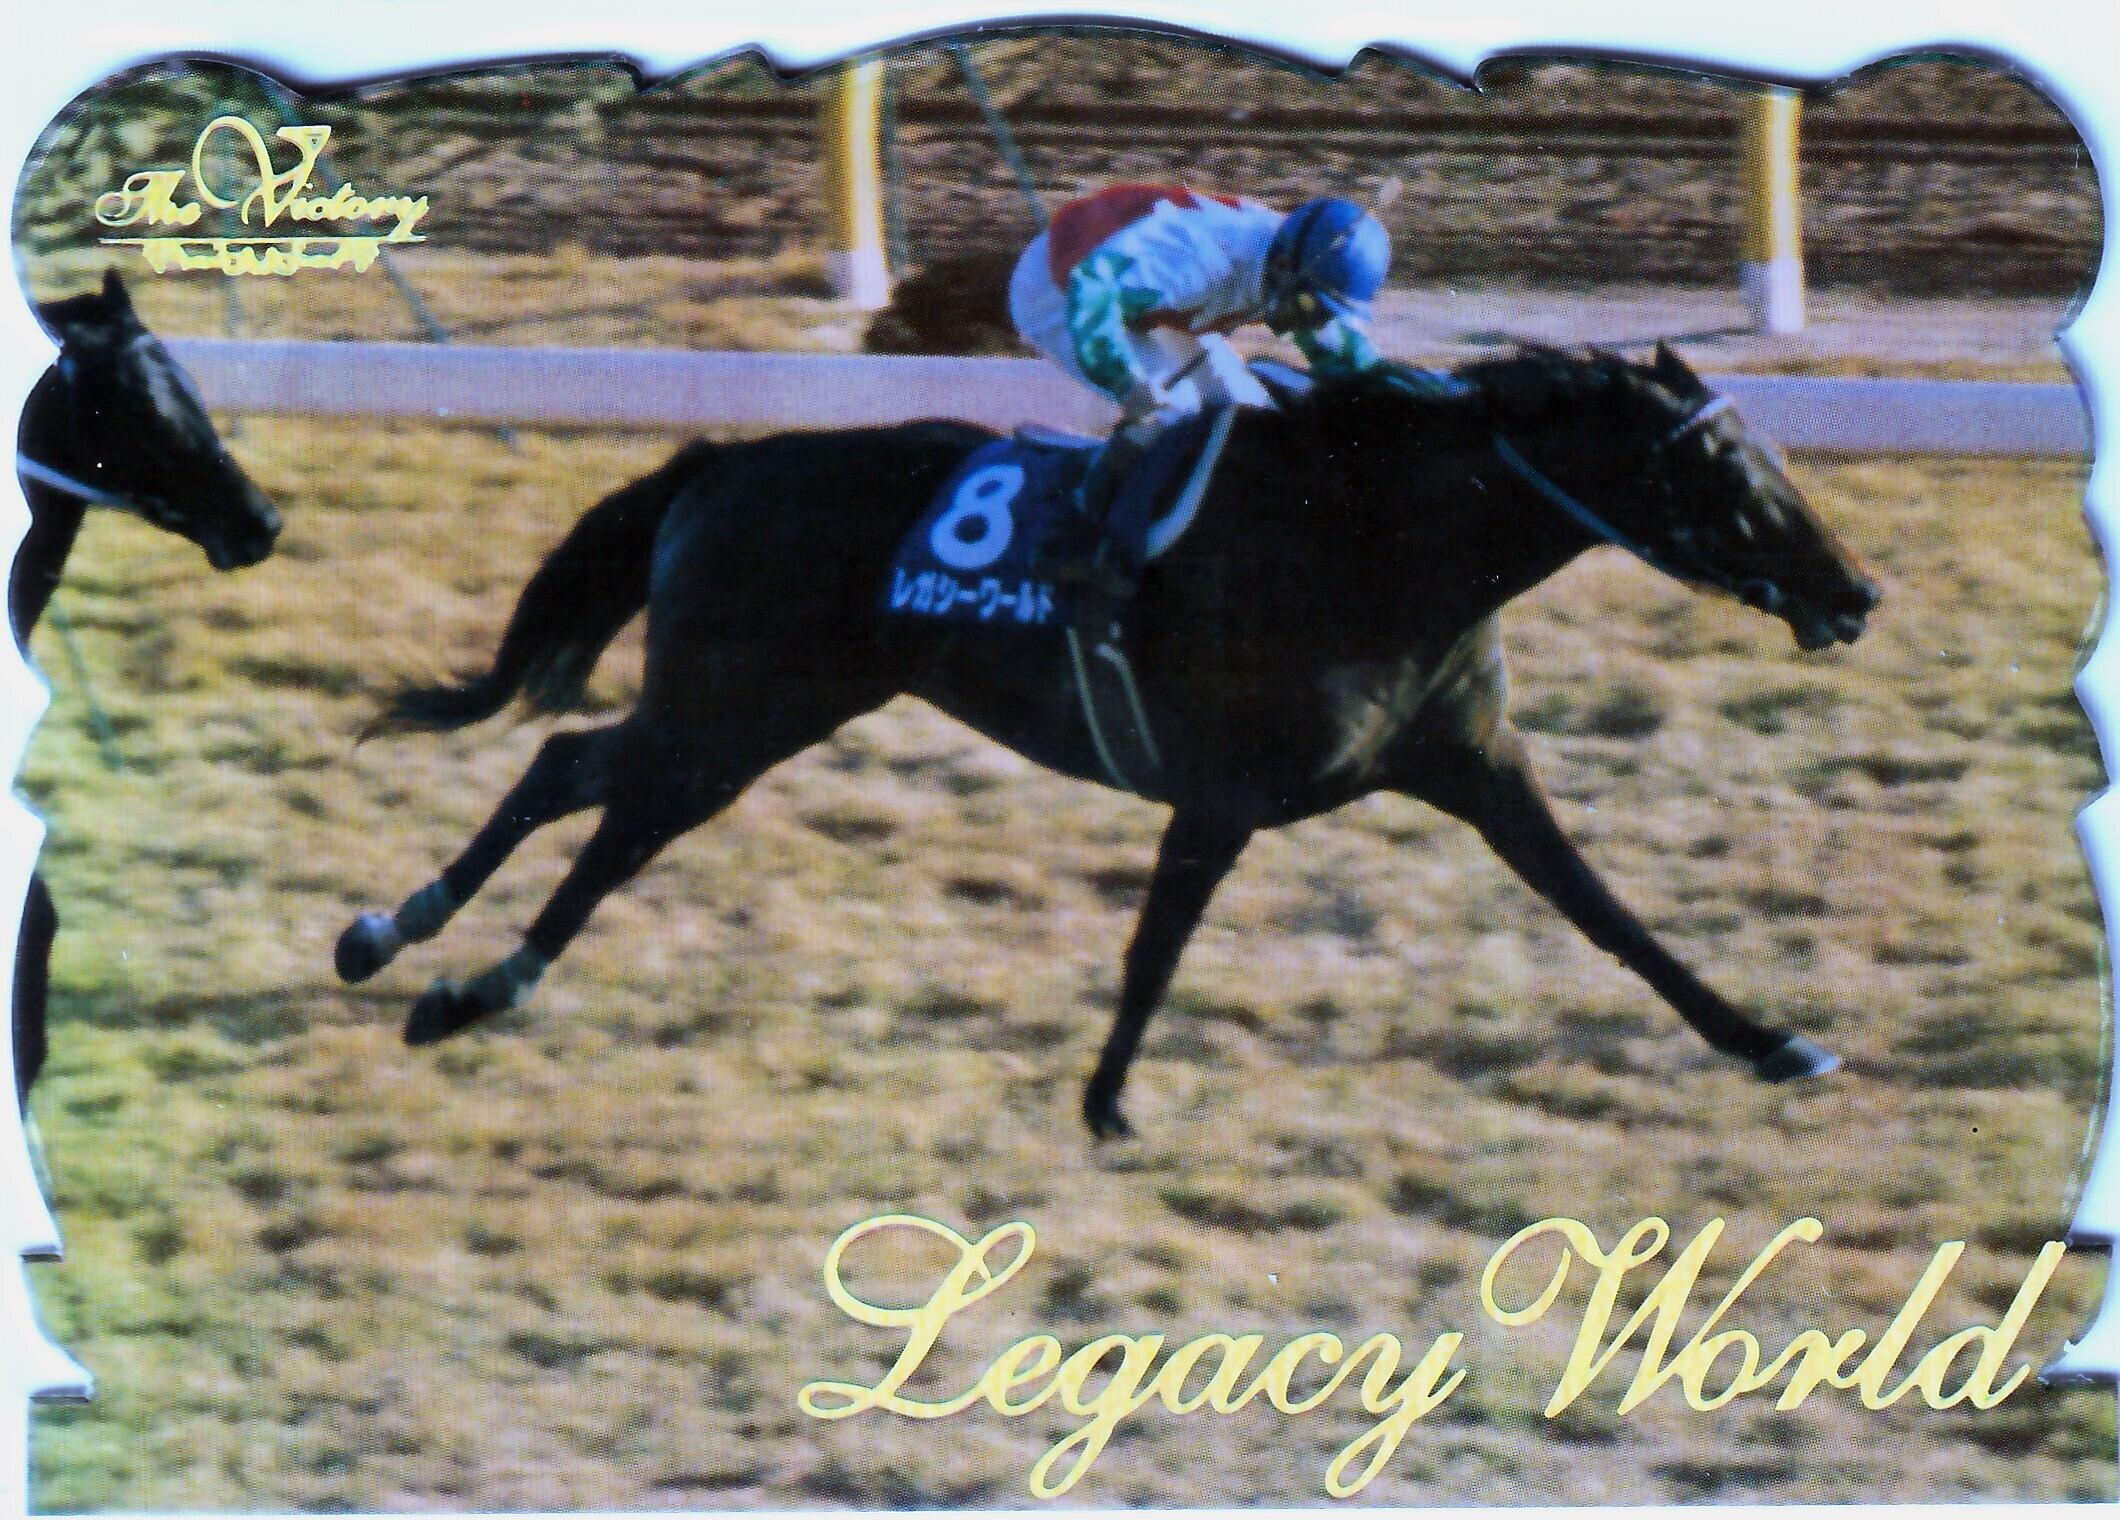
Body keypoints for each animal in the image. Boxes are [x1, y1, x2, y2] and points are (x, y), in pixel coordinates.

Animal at [336, 341, 1879, 1138]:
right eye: (1723, 464)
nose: (1856, 592)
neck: (1369, 544)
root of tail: (724, 461)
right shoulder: (1224, 796)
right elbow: (1158, 945)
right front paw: (1107, 1099)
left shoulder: (1473, 765)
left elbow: (1610, 914)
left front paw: (1772, 1040)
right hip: (741, 710)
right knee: (615, 822)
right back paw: (466, 985)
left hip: (763, 706)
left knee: (571, 770)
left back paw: (392, 935)